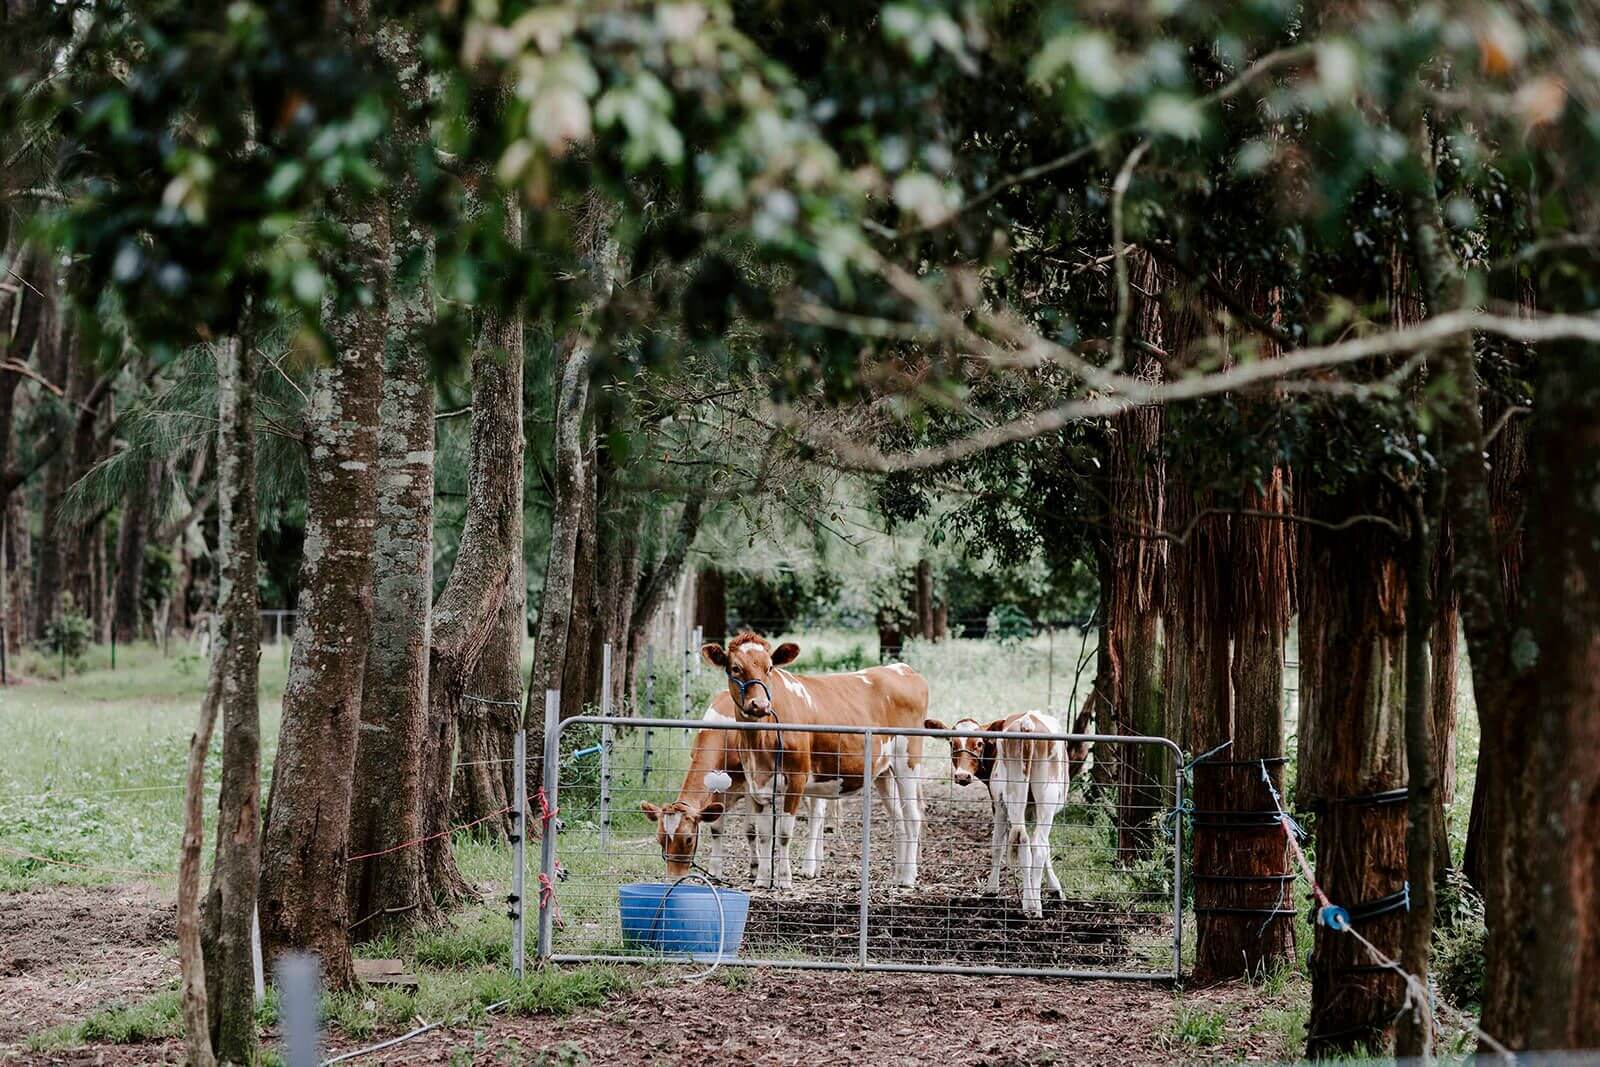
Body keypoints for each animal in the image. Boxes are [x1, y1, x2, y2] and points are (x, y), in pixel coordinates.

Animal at [703, 631, 932, 890]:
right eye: (735, 668)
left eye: (769, 667)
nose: (760, 705)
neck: (759, 742)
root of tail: (903, 669)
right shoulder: (757, 783)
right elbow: (764, 834)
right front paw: (762, 879)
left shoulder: (797, 778)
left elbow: (784, 833)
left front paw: (784, 879)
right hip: (883, 771)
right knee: (899, 819)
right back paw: (899, 874)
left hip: (908, 761)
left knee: (913, 816)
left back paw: (908, 878)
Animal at [931, 709, 1092, 917]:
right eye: (952, 743)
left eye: (979, 743)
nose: (962, 775)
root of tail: (1027, 722)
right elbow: (1043, 846)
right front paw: (1054, 889)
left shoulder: (999, 802)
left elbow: (998, 843)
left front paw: (991, 890)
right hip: (1036, 799)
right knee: (1032, 842)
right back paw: (1033, 905)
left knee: (1027, 841)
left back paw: (1031, 905)